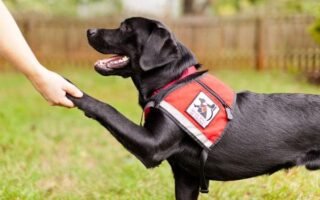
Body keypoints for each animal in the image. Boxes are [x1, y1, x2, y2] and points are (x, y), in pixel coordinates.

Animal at [67, 17, 320, 200]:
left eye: (126, 27)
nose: (89, 30)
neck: (172, 81)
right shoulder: (186, 177)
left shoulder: (152, 146)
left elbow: (109, 108)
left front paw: (72, 90)